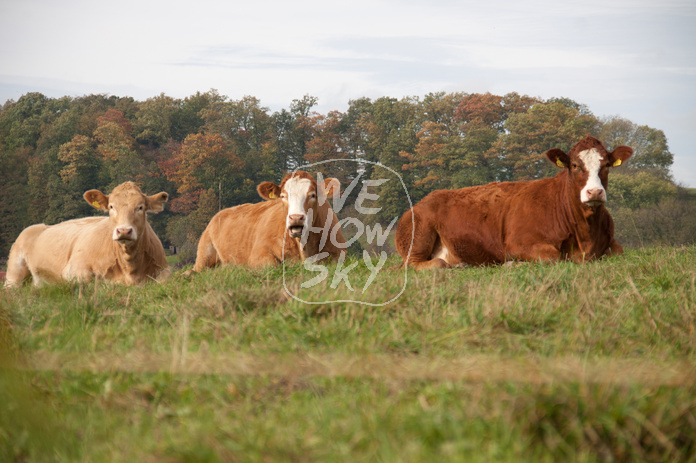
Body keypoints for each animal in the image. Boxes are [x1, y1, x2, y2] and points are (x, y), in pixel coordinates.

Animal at [3, 182, 170, 288]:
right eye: (111, 207)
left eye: (140, 207)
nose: (123, 231)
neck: (130, 268)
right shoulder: (73, 271)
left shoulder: (164, 270)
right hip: (13, 272)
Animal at [193, 171, 346, 270]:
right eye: (283, 196)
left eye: (313, 195)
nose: (296, 217)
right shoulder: (259, 253)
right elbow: (271, 266)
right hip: (205, 252)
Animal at [394, 134, 632, 270]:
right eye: (574, 165)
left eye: (607, 165)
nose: (595, 192)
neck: (585, 234)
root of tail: (422, 201)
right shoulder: (519, 243)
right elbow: (553, 256)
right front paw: (511, 265)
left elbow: (619, 252)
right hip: (418, 235)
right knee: (421, 264)